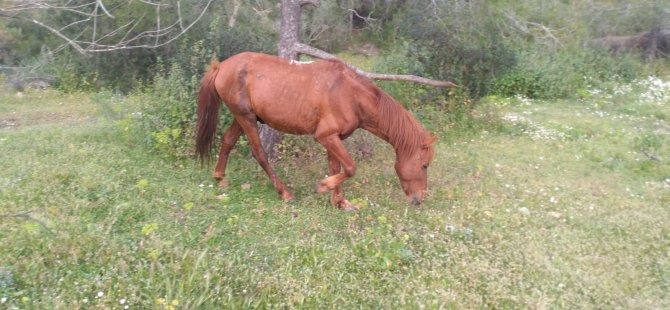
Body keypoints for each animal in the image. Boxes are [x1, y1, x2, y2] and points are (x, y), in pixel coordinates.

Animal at [196, 52, 436, 211]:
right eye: (424, 165)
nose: (420, 199)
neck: (350, 94)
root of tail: (221, 66)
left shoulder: (334, 139)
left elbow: (336, 167)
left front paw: (340, 202)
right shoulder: (325, 136)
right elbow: (350, 168)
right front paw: (323, 187)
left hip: (243, 117)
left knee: (227, 141)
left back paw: (220, 178)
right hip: (246, 118)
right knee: (260, 154)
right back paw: (285, 193)